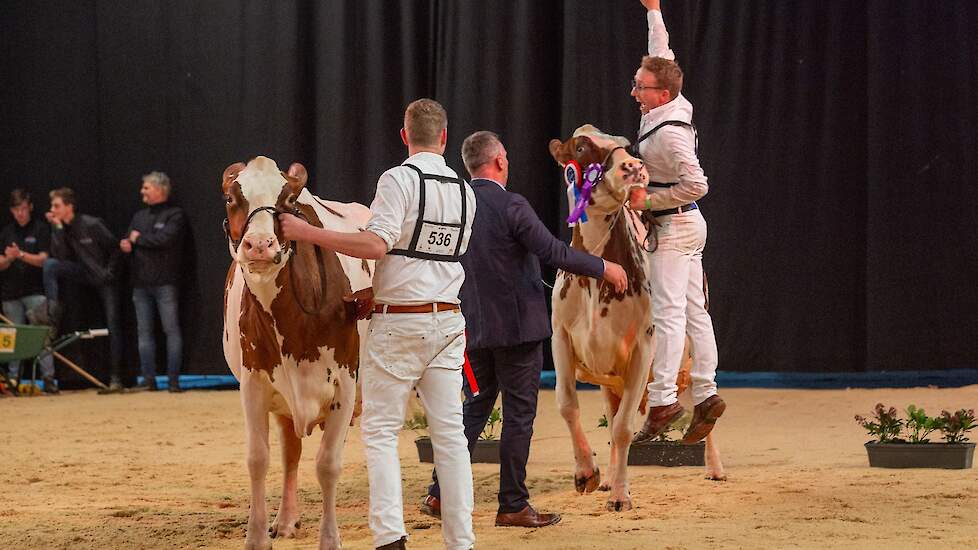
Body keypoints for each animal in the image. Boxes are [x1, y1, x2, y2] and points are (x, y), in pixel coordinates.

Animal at [221, 156, 370, 550]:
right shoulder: (254, 384)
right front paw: (256, 537)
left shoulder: (345, 385)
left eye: (288, 199)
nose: (259, 244)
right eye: (231, 198)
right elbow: (258, 459)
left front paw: (330, 539)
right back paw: (286, 520)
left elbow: (328, 464)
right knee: (291, 452)